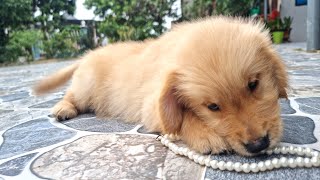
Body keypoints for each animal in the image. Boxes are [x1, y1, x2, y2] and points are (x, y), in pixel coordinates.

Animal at [33, 16, 288, 156]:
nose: (258, 145)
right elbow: (182, 116)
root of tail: (88, 55)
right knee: (71, 95)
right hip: (85, 86)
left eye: (254, 85)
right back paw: (63, 108)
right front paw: (205, 135)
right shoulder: (150, 106)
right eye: (213, 107)